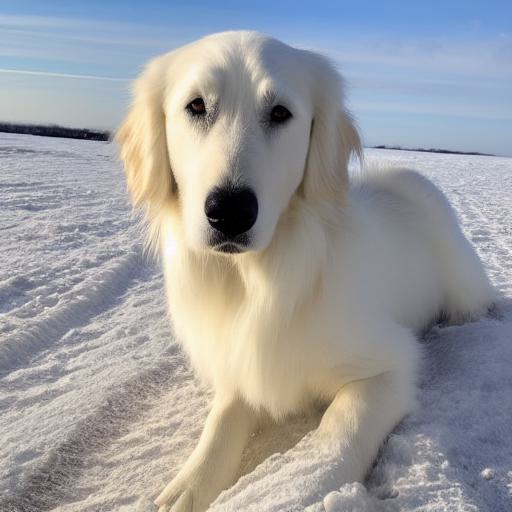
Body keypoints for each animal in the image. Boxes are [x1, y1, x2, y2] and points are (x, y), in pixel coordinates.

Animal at [116, 32, 492, 512]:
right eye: (196, 106)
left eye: (280, 112)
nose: (230, 211)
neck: (260, 280)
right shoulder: (243, 361)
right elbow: (220, 422)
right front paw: (185, 487)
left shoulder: (391, 365)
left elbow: (339, 430)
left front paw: (302, 488)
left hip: (465, 292)